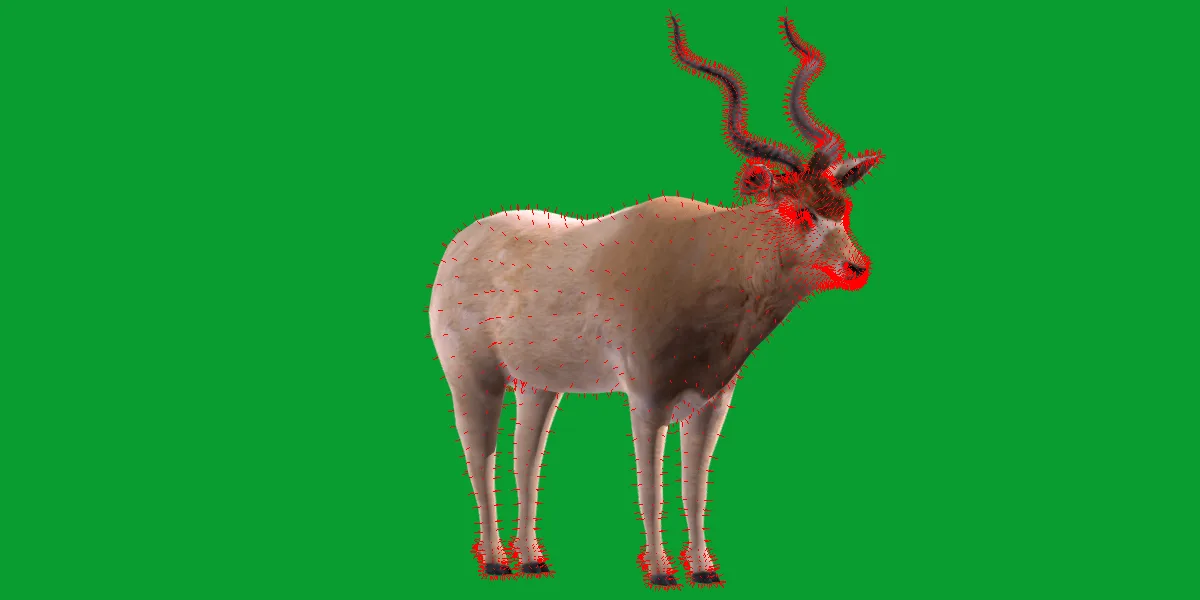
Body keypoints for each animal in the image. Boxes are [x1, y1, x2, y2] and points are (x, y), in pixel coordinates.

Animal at [428, 13, 884, 588]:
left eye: (842, 205)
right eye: (798, 210)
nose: (857, 268)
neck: (713, 259)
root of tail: (461, 243)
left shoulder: (711, 402)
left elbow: (695, 485)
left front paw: (705, 569)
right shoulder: (646, 400)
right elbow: (651, 486)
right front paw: (663, 572)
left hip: (539, 385)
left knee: (524, 457)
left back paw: (531, 558)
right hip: (473, 375)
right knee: (481, 456)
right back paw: (494, 560)